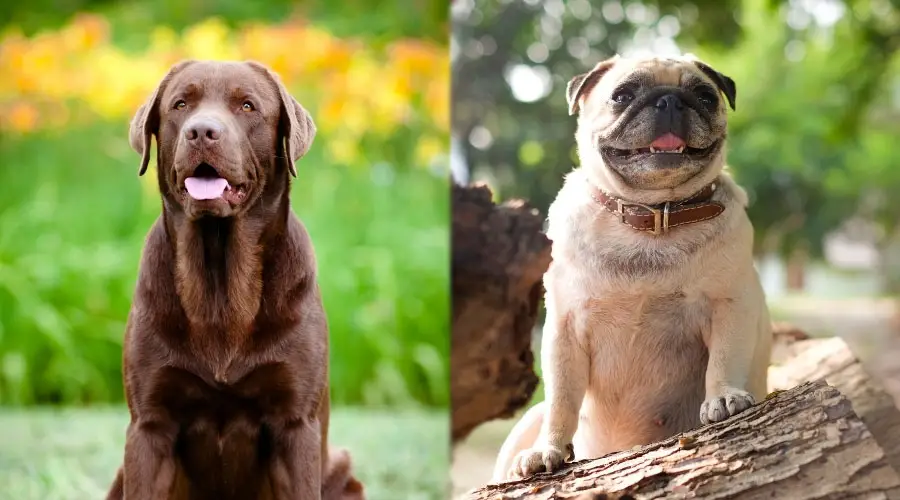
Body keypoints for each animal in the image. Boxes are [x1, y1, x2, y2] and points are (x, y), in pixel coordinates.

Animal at [108, 61, 366, 500]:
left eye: (247, 105)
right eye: (181, 104)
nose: (201, 132)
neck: (219, 280)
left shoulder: (295, 424)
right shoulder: (149, 424)